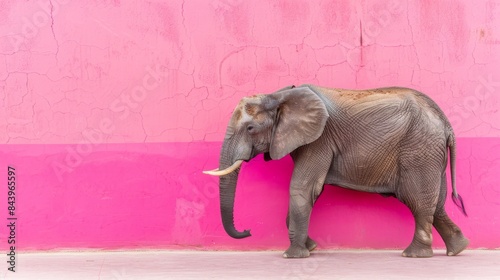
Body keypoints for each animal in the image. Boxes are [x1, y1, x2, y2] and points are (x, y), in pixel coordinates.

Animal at [202, 85, 468, 258]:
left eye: (250, 128)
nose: (247, 231)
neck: (278, 95)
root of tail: (446, 124)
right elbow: (310, 190)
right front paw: (310, 248)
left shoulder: (319, 140)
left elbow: (302, 187)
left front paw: (293, 256)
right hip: (430, 154)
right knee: (436, 202)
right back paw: (458, 249)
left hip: (419, 150)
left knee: (417, 200)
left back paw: (413, 255)